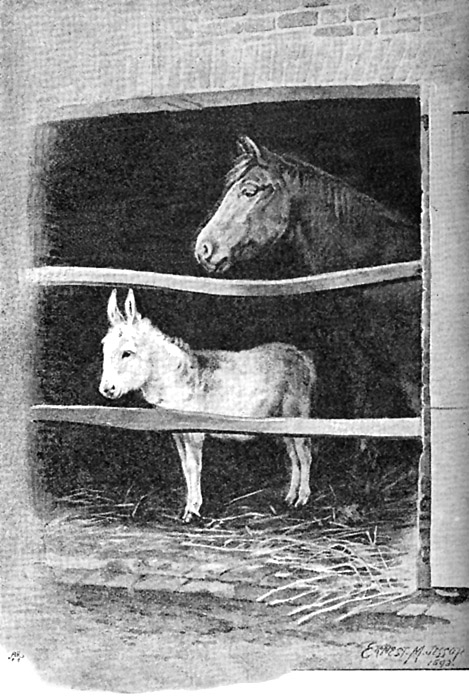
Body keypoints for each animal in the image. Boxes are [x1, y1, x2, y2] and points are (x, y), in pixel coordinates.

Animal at [100, 288, 316, 524]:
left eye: (127, 353)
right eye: (104, 349)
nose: (107, 389)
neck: (176, 378)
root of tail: (302, 357)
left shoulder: (195, 430)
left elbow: (194, 466)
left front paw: (192, 510)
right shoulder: (177, 431)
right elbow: (185, 467)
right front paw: (190, 506)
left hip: (296, 413)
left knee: (305, 454)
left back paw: (302, 498)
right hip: (282, 420)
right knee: (293, 455)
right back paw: (290, 496)